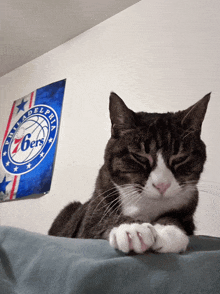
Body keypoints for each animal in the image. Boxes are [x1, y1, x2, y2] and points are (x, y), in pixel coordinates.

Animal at [49, 92, 211, 255]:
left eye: (180, 158)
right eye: (140, 157)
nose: (162, 185)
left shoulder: (189, 210)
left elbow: (175, 218)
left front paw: (168, 232)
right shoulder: (90, 219)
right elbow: (104, 220)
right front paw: (132, 229)